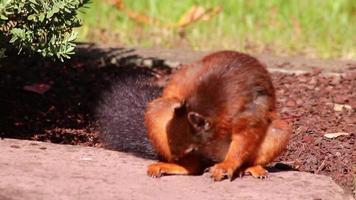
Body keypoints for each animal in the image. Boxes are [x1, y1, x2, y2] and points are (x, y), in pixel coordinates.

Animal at [145, 50, 292, 180]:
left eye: (190, 148)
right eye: (168, 140)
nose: (175, 157)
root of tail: (212, 157)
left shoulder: (249, 112)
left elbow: (244, 137)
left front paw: (227, 165)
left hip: (276, 133)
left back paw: (249, 167)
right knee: (194, 168)